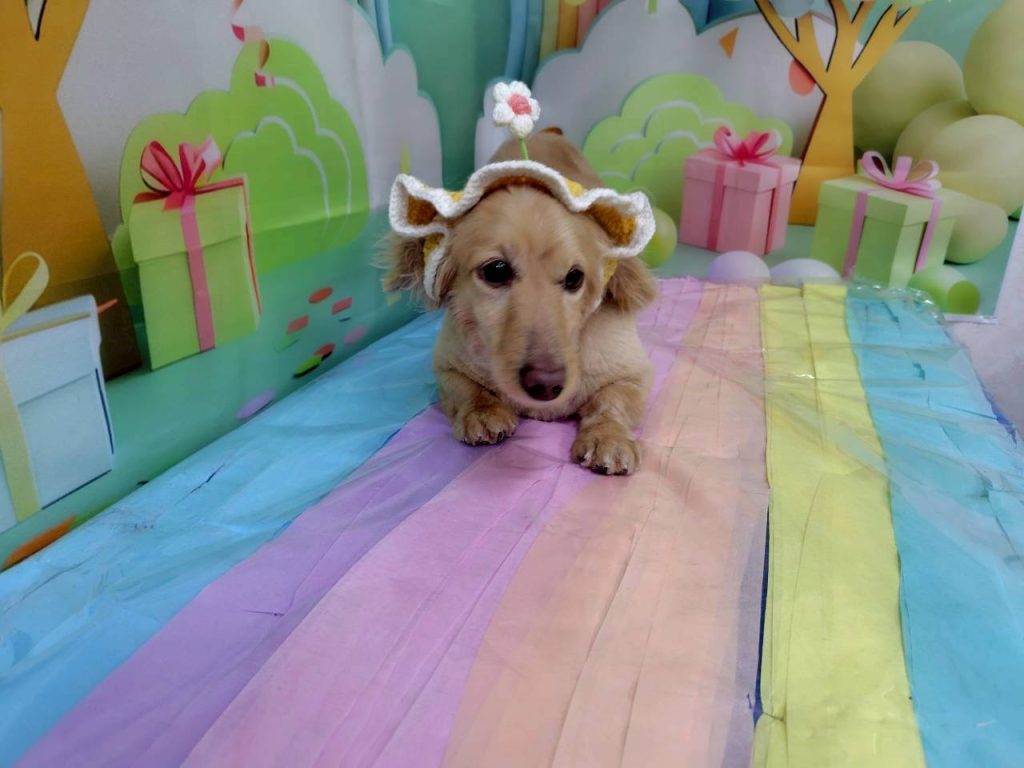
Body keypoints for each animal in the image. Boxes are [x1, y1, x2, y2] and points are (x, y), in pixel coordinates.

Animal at [384, 130, 657, 475]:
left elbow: (611, 402)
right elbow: (468, 390)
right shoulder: (446, 365)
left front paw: (607, 437)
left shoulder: (634, 374)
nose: (546, 384)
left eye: (575, 277)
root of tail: (547, 131)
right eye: (496, 270)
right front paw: (483, 413)